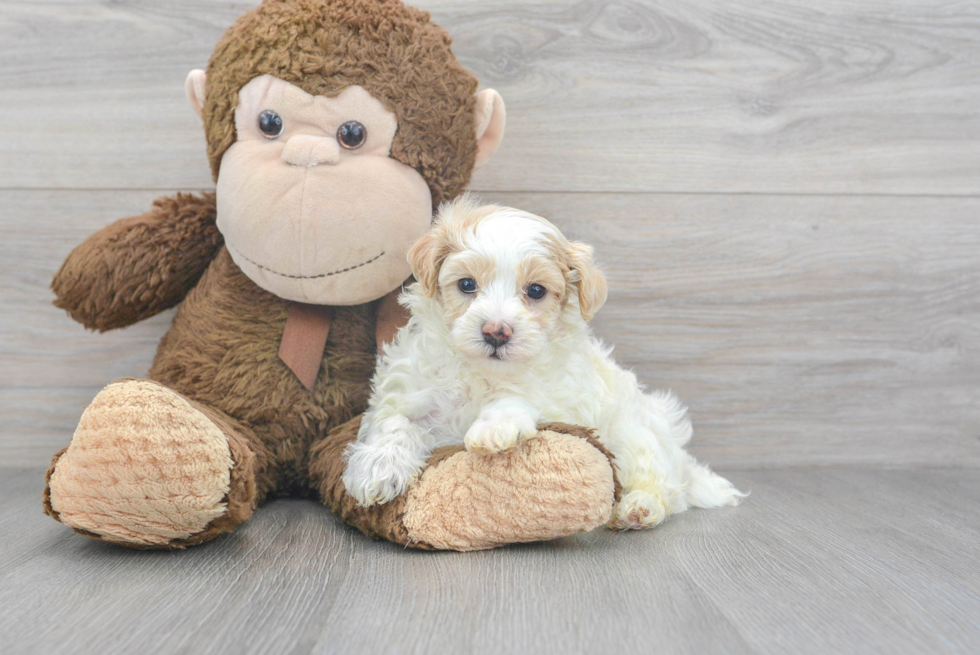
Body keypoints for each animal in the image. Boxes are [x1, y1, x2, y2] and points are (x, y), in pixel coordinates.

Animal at [342, 197, 744, 532]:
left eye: (535, 290)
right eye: (467, 284)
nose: (496, 331)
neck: (482, 374)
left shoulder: (561, 396)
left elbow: (518, 400)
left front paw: (492, 429)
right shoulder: (407, 392)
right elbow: (395, 423)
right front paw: (377, 468)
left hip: (634, 437)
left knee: (666, 489)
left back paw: (638, 508)